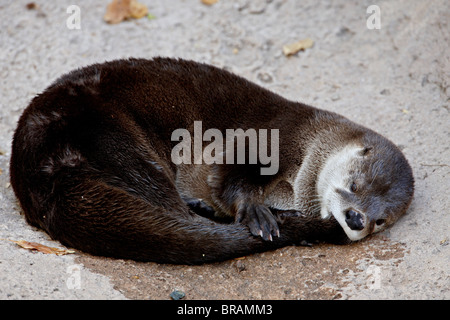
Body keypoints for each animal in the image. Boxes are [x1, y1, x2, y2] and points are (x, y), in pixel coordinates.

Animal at [8, 57, 414, 262]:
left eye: (380, 220)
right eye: (353, 185)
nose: (356, 219)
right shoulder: (267, 136)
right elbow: (228, 173)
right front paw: (255, 212)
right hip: (118, 140)